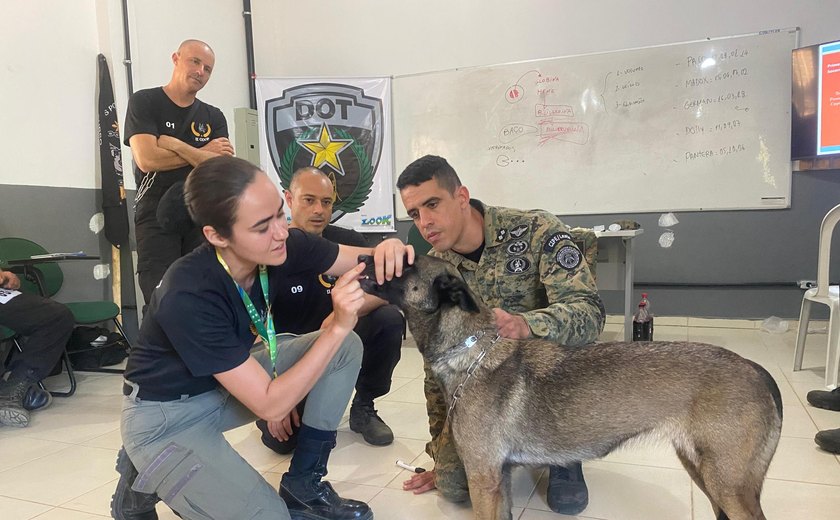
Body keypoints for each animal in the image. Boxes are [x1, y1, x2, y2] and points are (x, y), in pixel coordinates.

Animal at [360, 255, 780, 520]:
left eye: (404, 263)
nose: (363, 255)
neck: (470, 350)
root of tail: (757, 370)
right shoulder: (500, 479)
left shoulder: (483, 478)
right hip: (704, 472)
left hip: (725, 483)